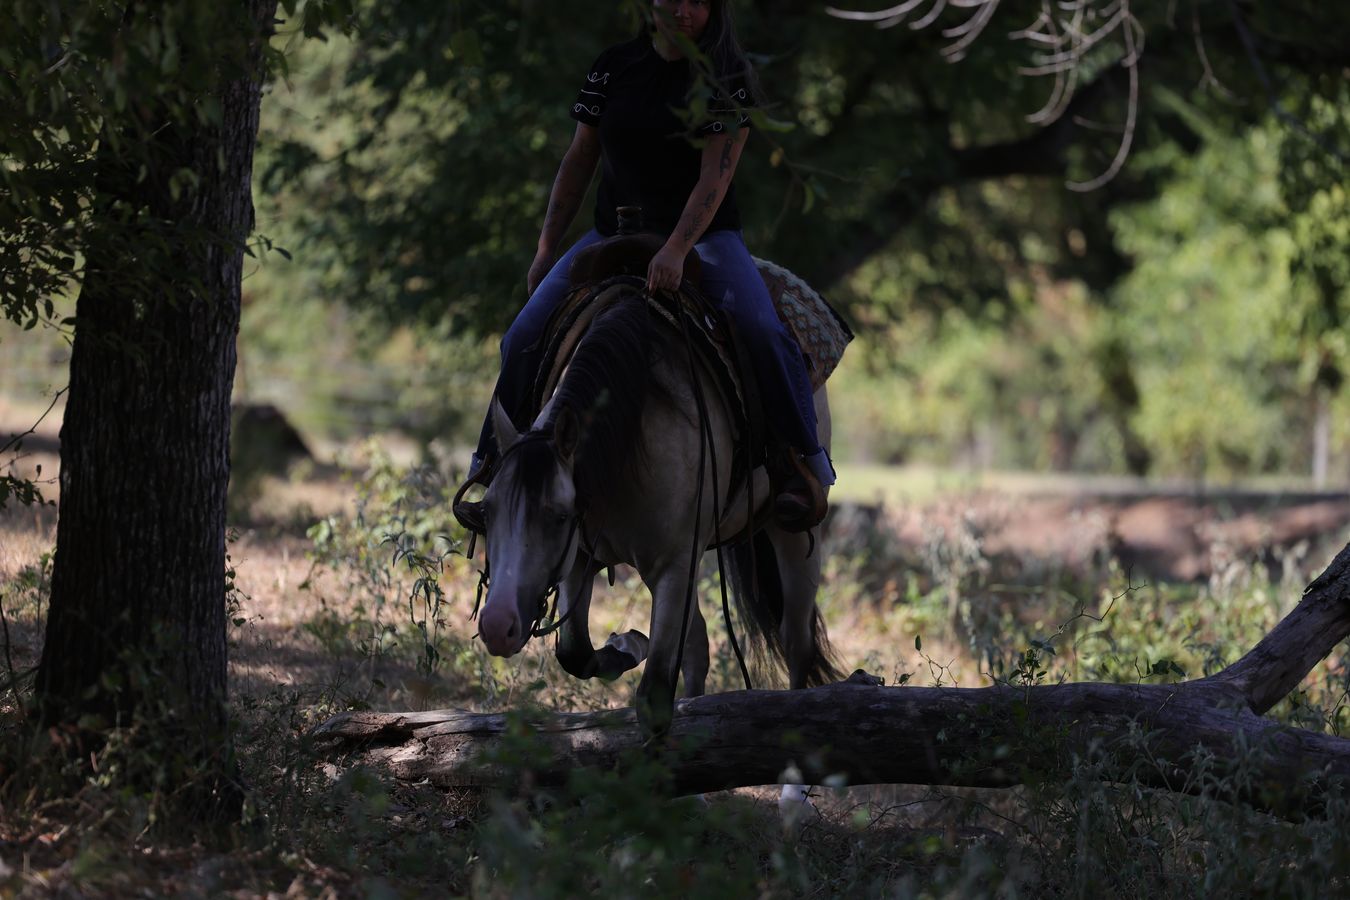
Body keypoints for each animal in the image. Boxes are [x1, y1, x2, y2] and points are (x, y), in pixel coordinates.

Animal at [473, 273, 841, 738]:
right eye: (488, 512)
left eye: (557, 516)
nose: (496, 626)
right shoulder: (580, 559)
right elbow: (576, 653)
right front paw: (627, 643)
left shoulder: (674, 565)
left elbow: (653, 698)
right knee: (700, 646)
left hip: (791, 534)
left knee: (796, 645)